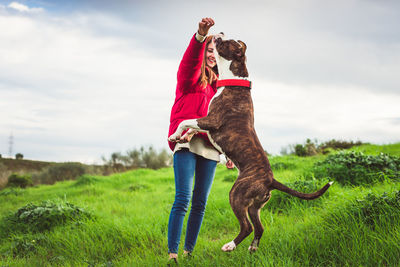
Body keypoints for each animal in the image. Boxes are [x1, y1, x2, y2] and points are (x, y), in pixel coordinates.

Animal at [167, 33, 332, 253]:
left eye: (228, 42)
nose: (219, 33)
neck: (234, 80)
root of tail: (271, 180)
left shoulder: (212, 120)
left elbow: (185, 120)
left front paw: (175, 135)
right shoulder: (206, 122)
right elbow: (192, 127)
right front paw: (182, 137)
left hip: (236, 195)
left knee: (246, 227)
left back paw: (230, 245)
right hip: (255, 205)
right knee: (259, 227)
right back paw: (252, 248)